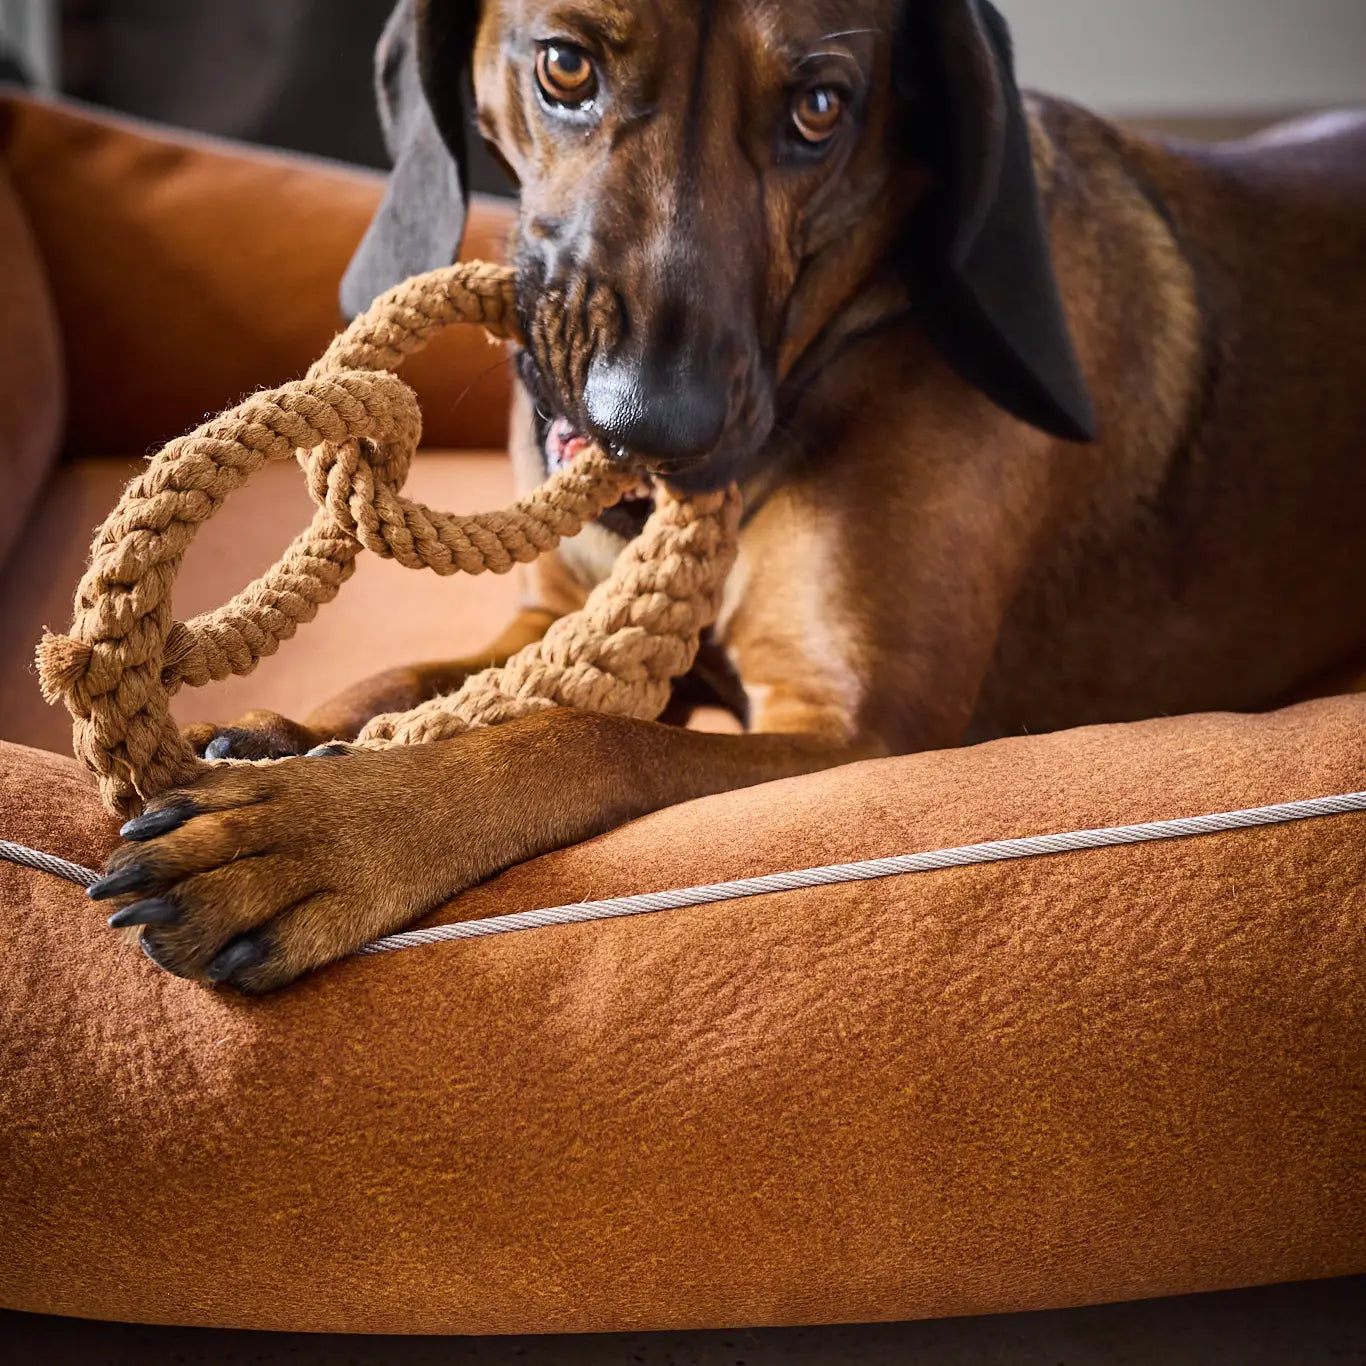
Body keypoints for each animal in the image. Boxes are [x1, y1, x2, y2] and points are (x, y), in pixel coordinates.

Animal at [90, 0, 1366, 994]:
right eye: (565, 66)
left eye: (821, 107)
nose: (653, 427)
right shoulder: (547, 617)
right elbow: (406, 677)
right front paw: (274, 737)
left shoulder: (860, 732)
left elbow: (586, 736)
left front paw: (321, 828)